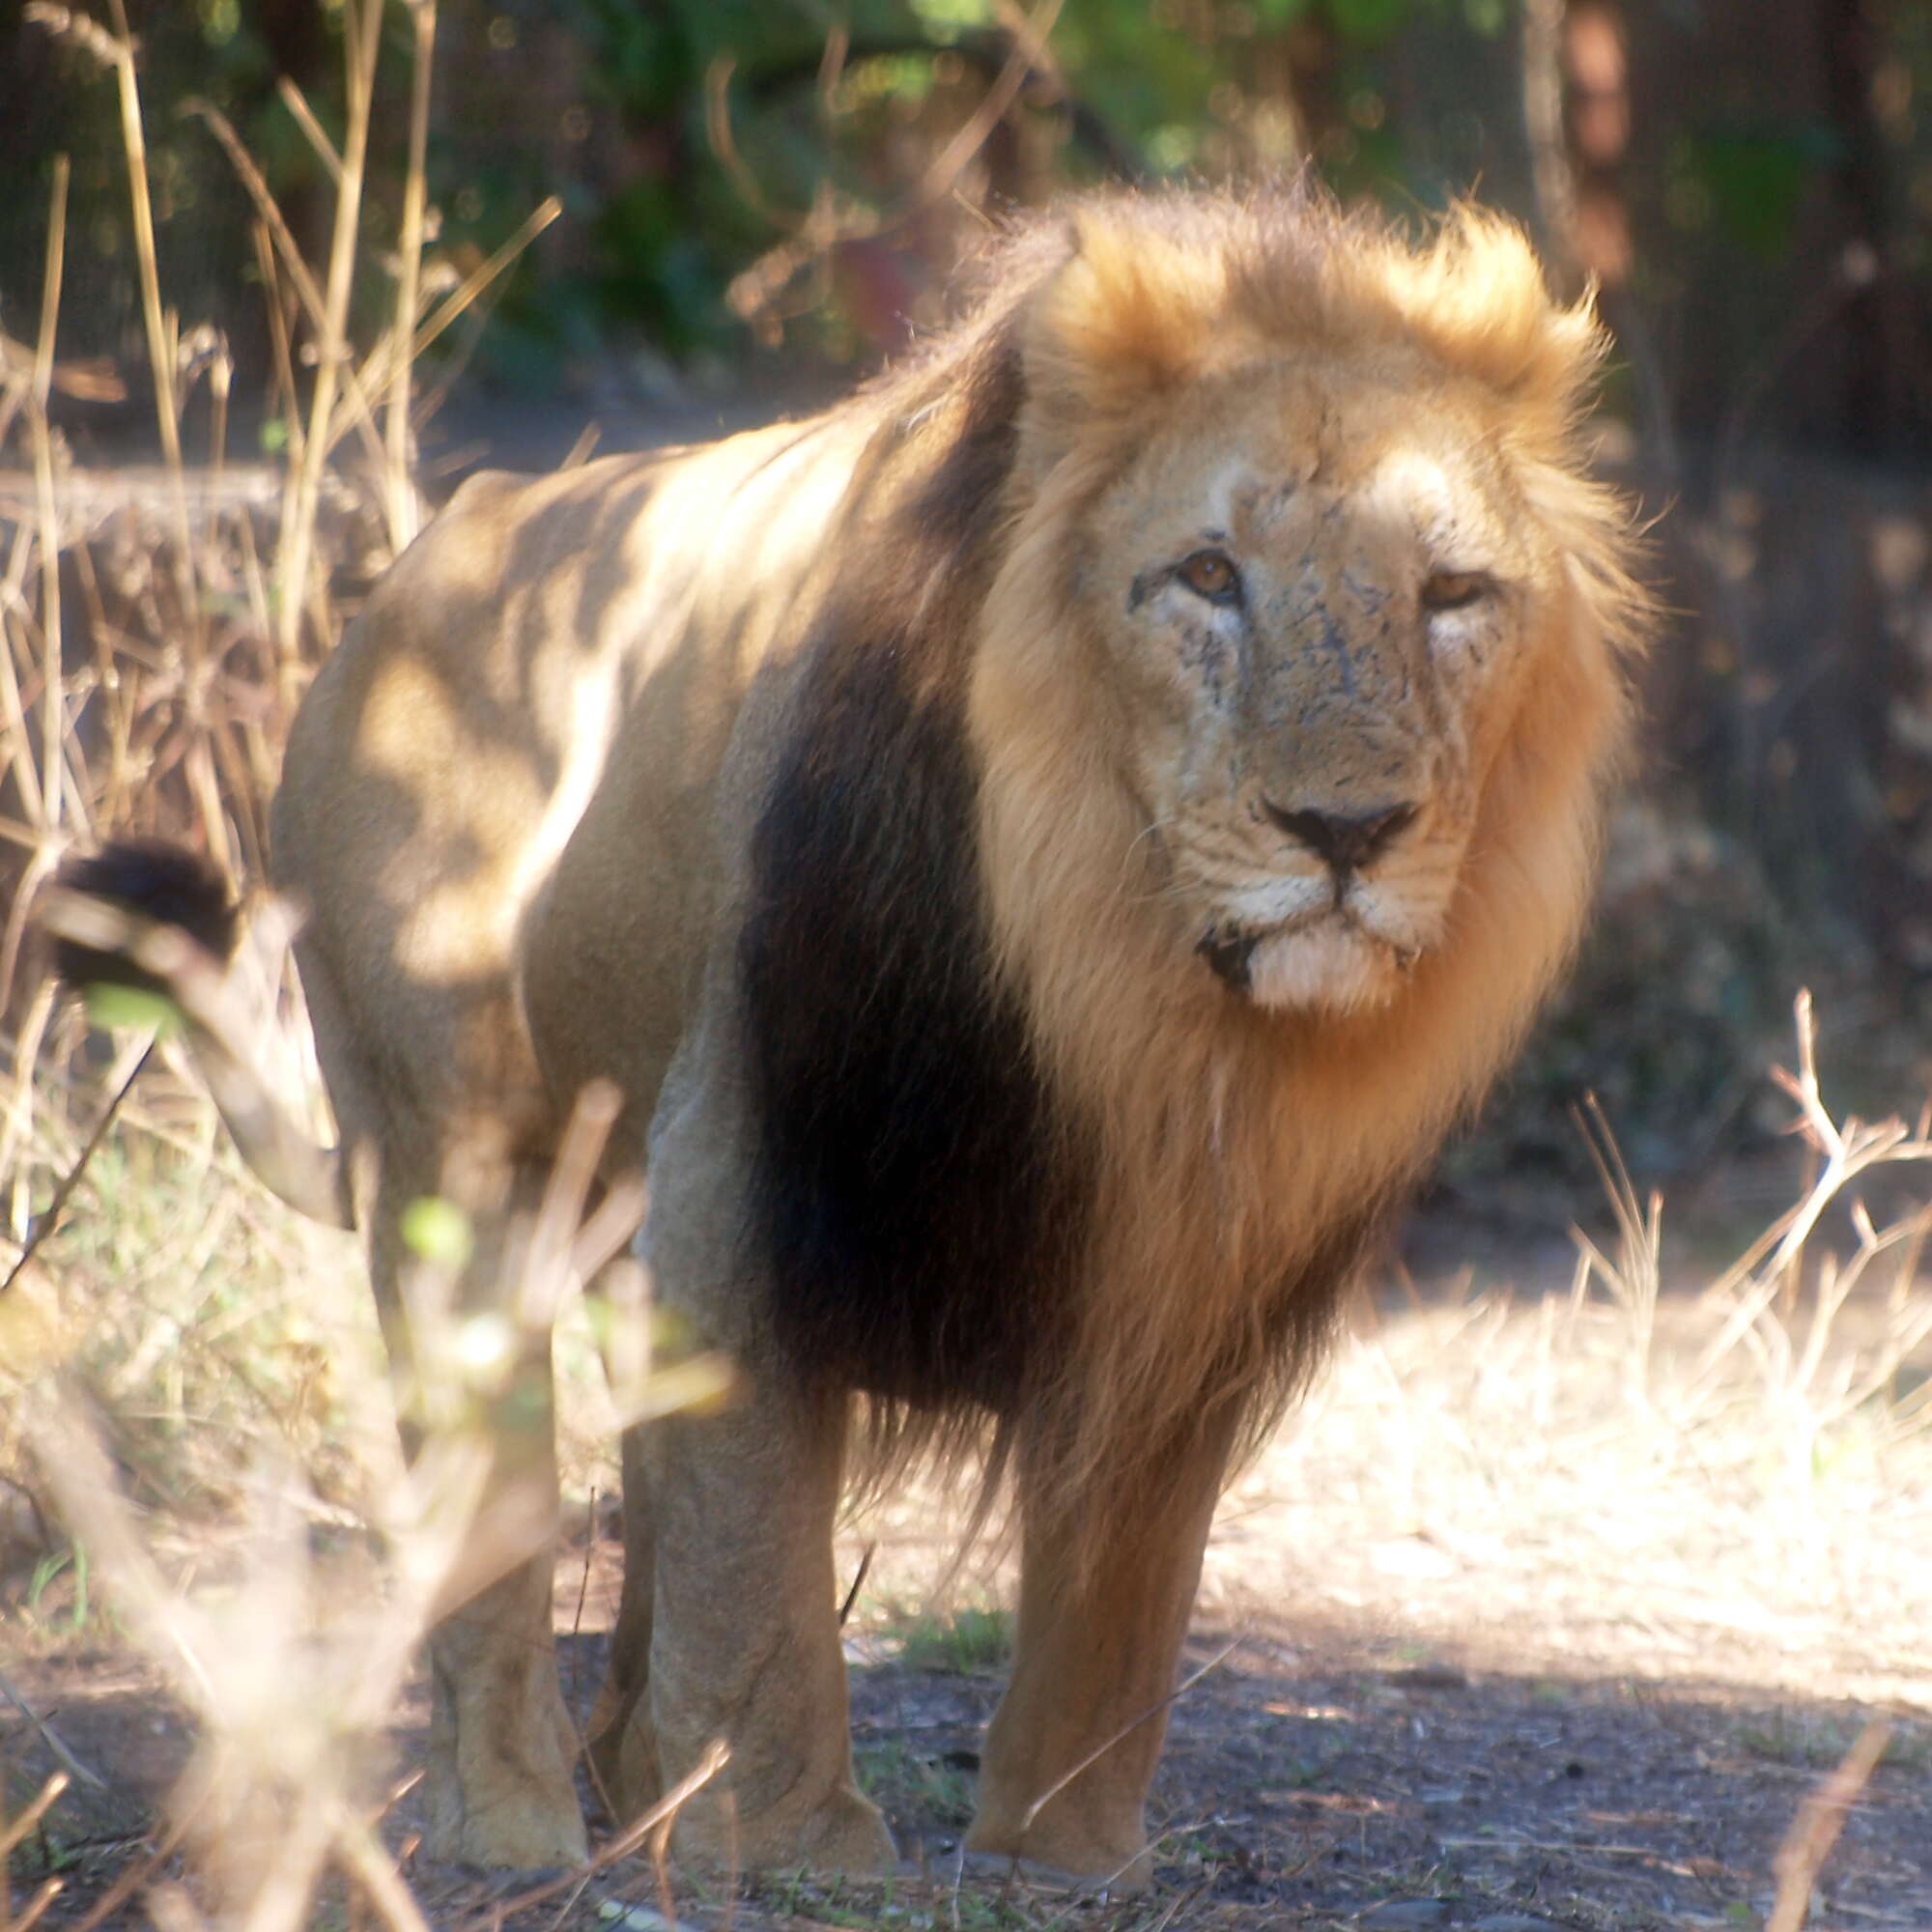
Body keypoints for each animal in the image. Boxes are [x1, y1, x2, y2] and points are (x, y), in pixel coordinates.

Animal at [45, 185, 1646, 1886]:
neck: (1122, 1000)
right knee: (496, 1512)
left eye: (1453, 596)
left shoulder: (1180, 1276)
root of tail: (411, 576)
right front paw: (790, 1848)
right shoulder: (746, 1161)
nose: (1348, 830)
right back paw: (521, 1822)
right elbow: (758, 1557)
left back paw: (634, 1776)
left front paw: (1065, 1854)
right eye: (1208, 576)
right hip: (447, 1153)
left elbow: (1122, 1593)